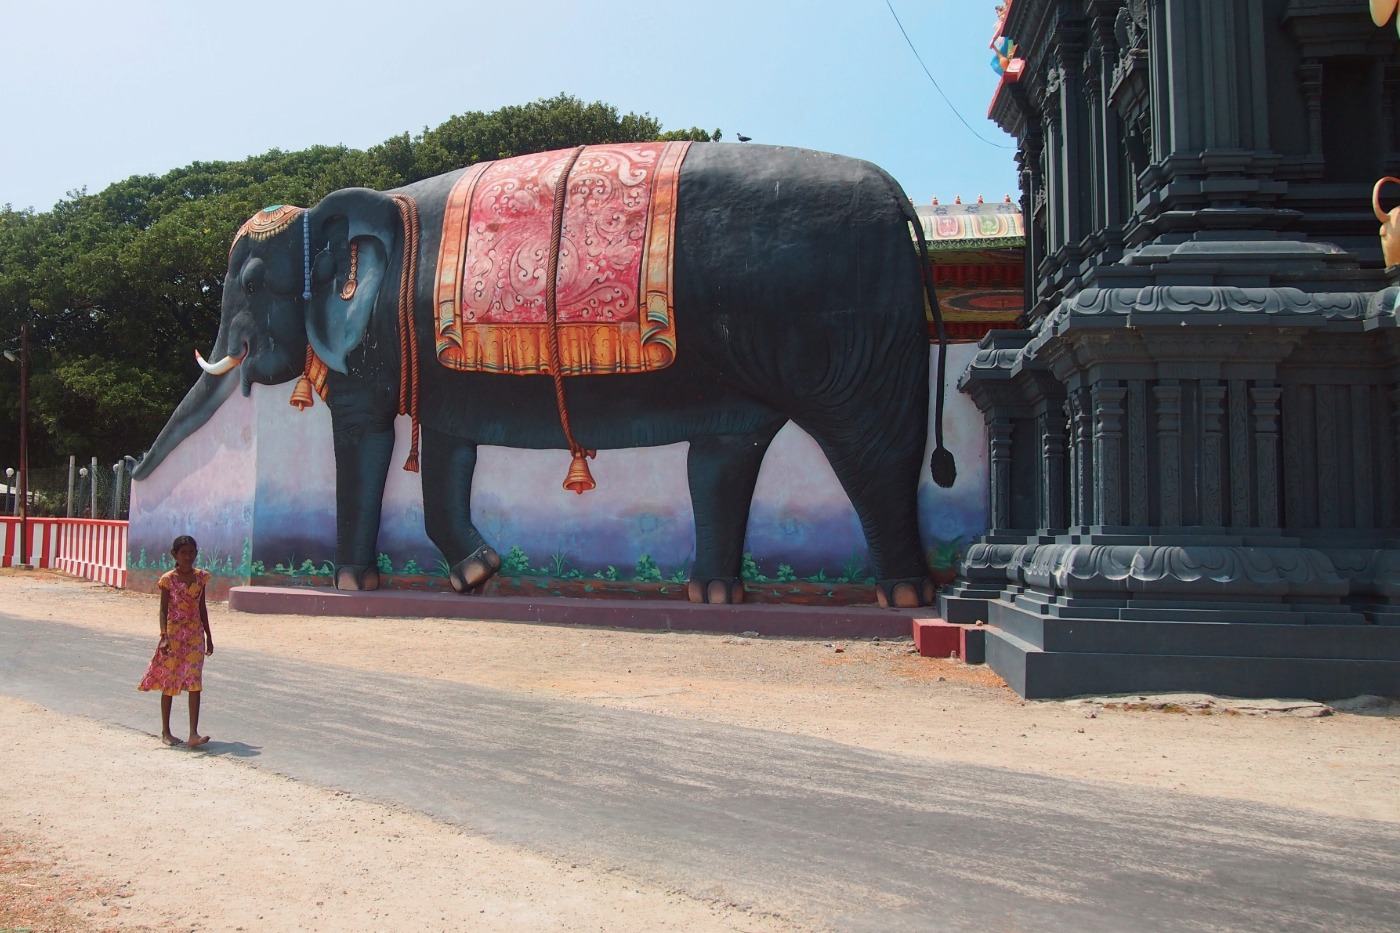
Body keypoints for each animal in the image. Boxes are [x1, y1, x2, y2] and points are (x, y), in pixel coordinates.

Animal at [133, 142, 955, 608]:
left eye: (250, 282)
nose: (135, 472)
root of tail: (899, 194)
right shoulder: (437, 357)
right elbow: (449, 445)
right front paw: (477, 575)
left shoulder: (375, 346)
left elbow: (365, 438)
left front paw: (354, 586)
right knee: (728, 453)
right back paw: (718, 595)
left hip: (853, 339)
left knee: (875, 451)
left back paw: (906, 597)